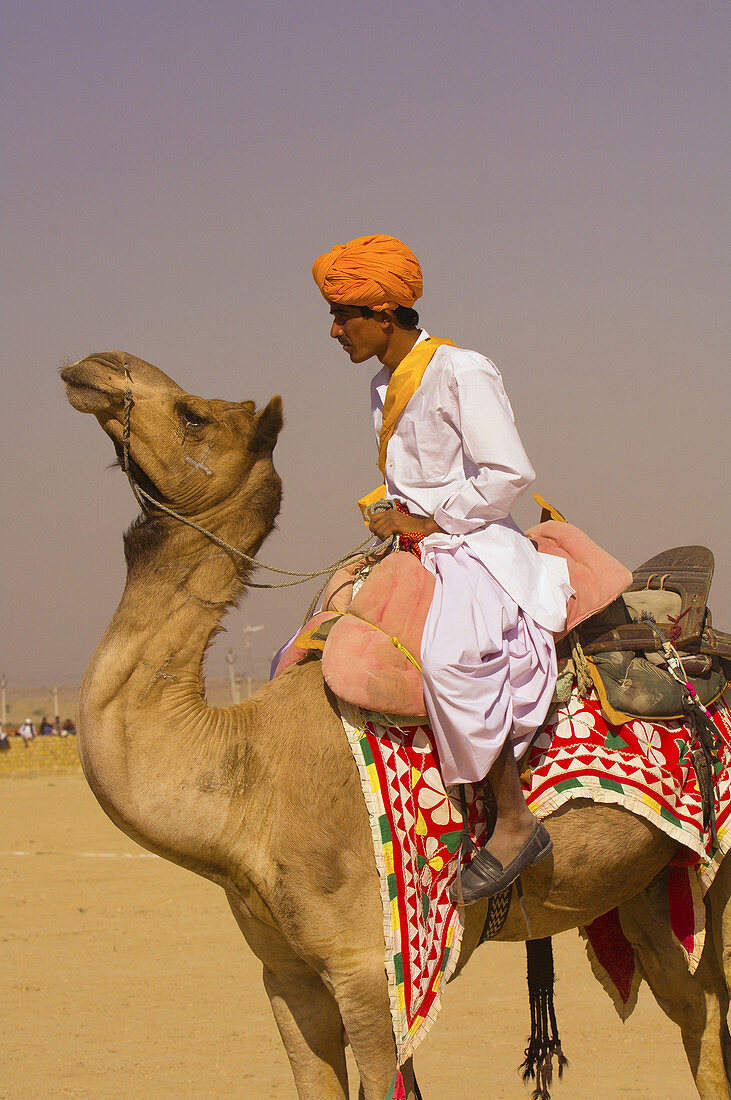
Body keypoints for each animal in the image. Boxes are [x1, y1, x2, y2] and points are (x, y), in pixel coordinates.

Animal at [61, 354, 729, 1100]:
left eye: (192, 415)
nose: (95, 367)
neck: (249, 781)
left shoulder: (371, 966)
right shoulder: (286, 975)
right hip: (651, 883)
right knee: (695, 1007)